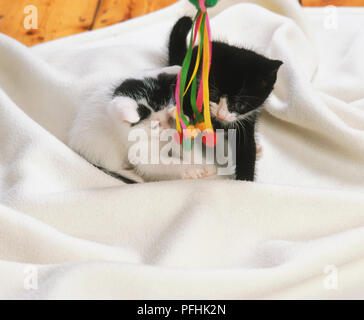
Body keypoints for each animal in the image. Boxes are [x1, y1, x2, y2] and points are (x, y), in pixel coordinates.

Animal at [167, 17, 282, 181]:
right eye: (213, 96)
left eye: (240, 105)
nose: (221, 114)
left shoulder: (245, 120)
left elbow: (246, 148)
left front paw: (244, 181)